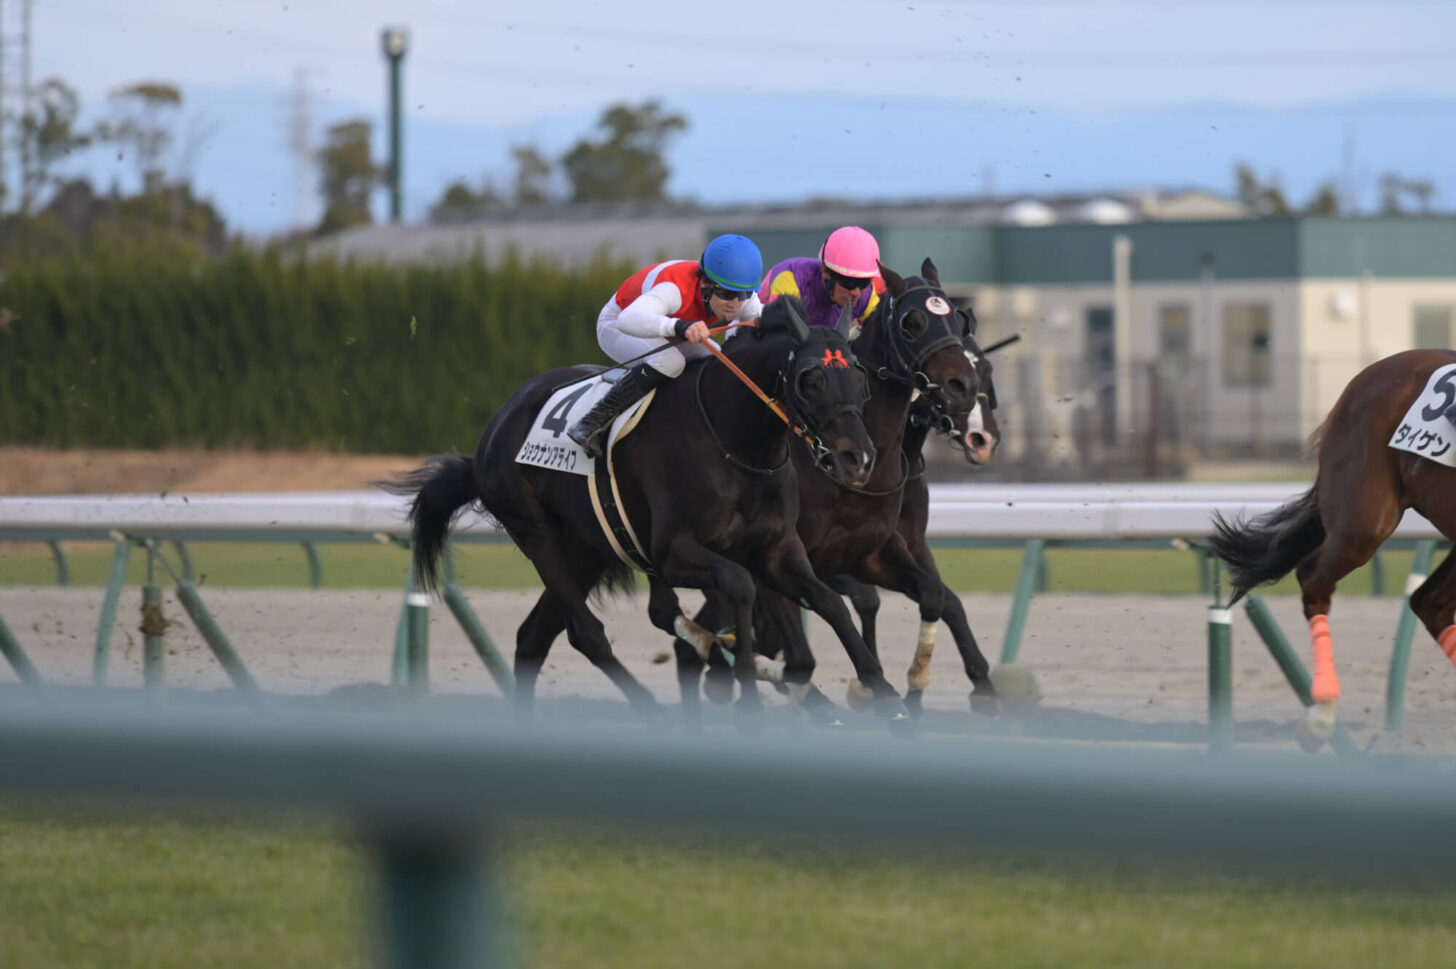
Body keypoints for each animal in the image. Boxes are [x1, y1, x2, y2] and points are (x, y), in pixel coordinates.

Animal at [675, 256, 995, 715]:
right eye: (912, 322)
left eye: (958, 317)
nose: (962, 388)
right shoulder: (782, 559)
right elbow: (804, 646)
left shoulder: (880, 551)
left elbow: (936, 596)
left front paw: (953, 682)